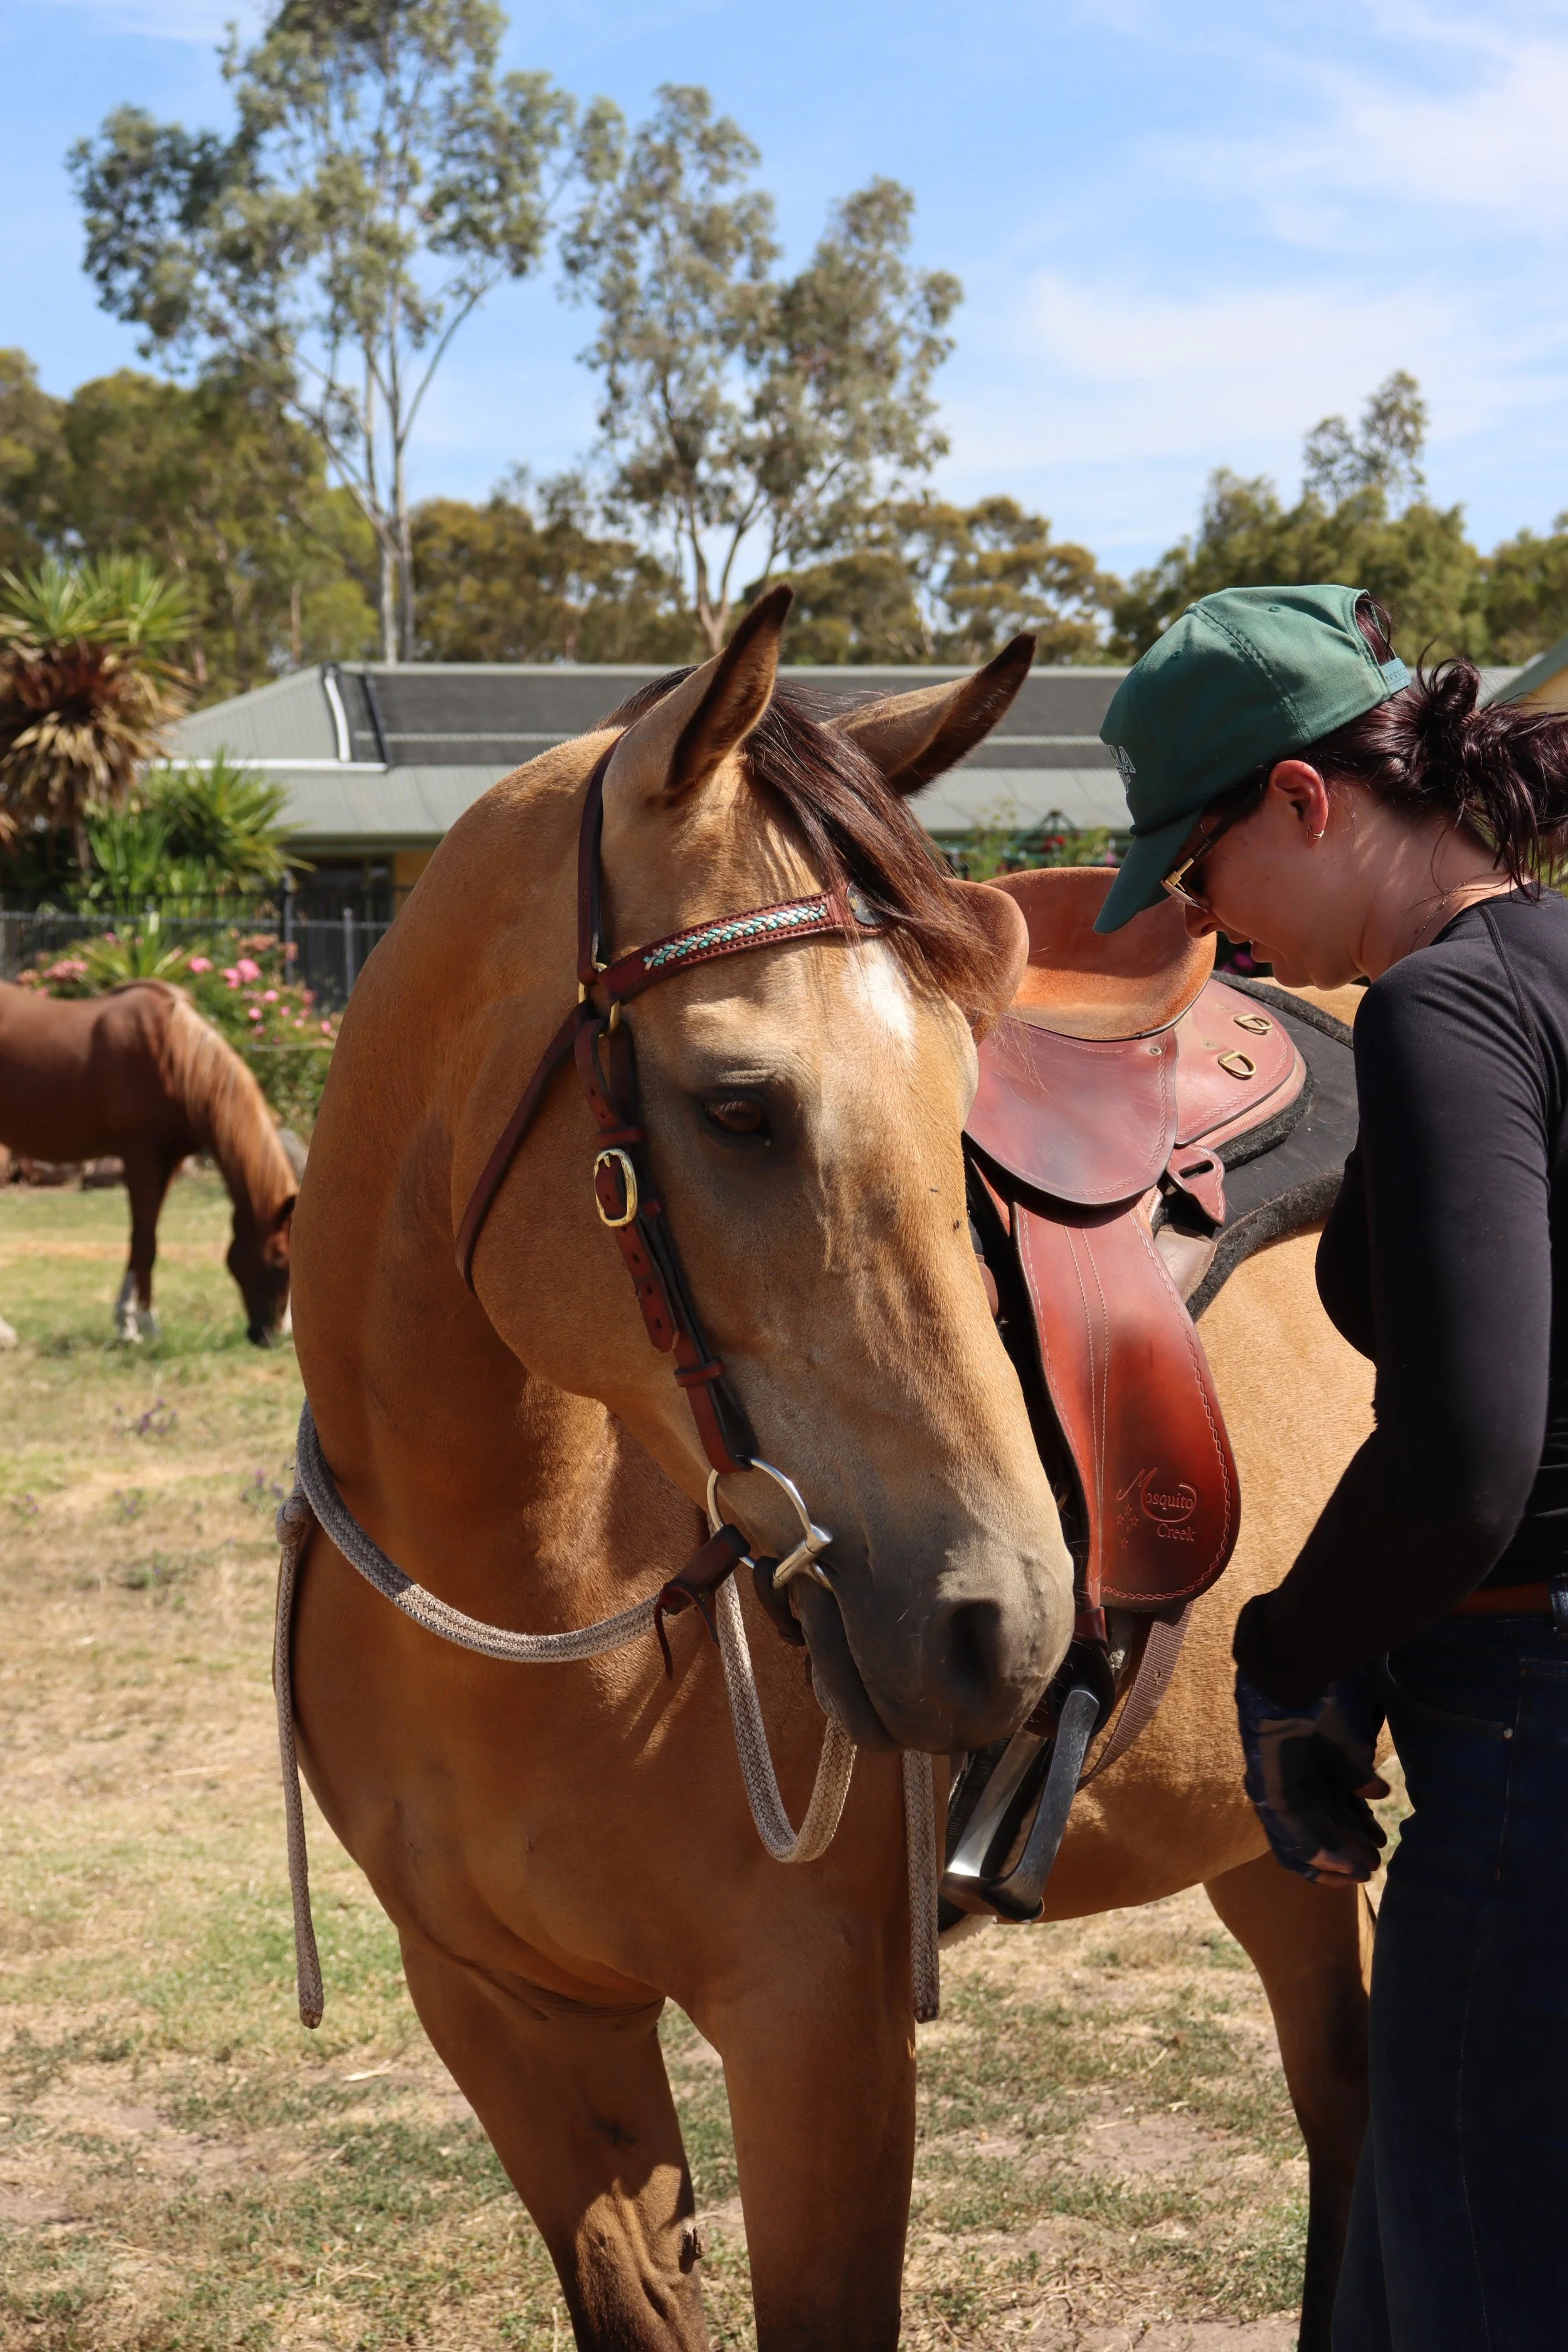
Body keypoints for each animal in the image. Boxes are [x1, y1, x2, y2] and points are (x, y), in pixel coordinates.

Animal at [0, 979, 297, 1344]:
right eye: (280, 1260)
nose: (270, 1336)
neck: (174, 1056)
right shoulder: (141, 1156)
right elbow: (143, 1241)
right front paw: (137, 1326)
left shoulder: (168, 1161)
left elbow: (147, 1239)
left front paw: (136, 1321)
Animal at [286, 591, 1374, 2350]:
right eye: (739, 1107)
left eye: (966, 1096)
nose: (1005, 1620)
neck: (520, 1599)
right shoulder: (510, 2015)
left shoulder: (817, 2029)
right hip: (1272, 1823)